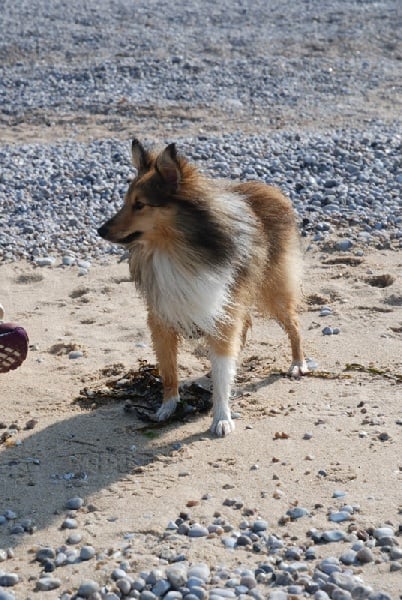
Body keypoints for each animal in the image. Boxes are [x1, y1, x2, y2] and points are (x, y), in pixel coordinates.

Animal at [98, 139, 308, 436]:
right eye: (126, 202)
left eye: (140, 204)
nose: (100, 230)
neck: (175, 249)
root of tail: (271, 189)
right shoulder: (161, 318)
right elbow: (169, 370)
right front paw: (167, 407)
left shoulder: (220, 310)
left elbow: (221, 372)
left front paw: (221, 417)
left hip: (273, 291)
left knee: (294, 325)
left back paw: (298, 364)